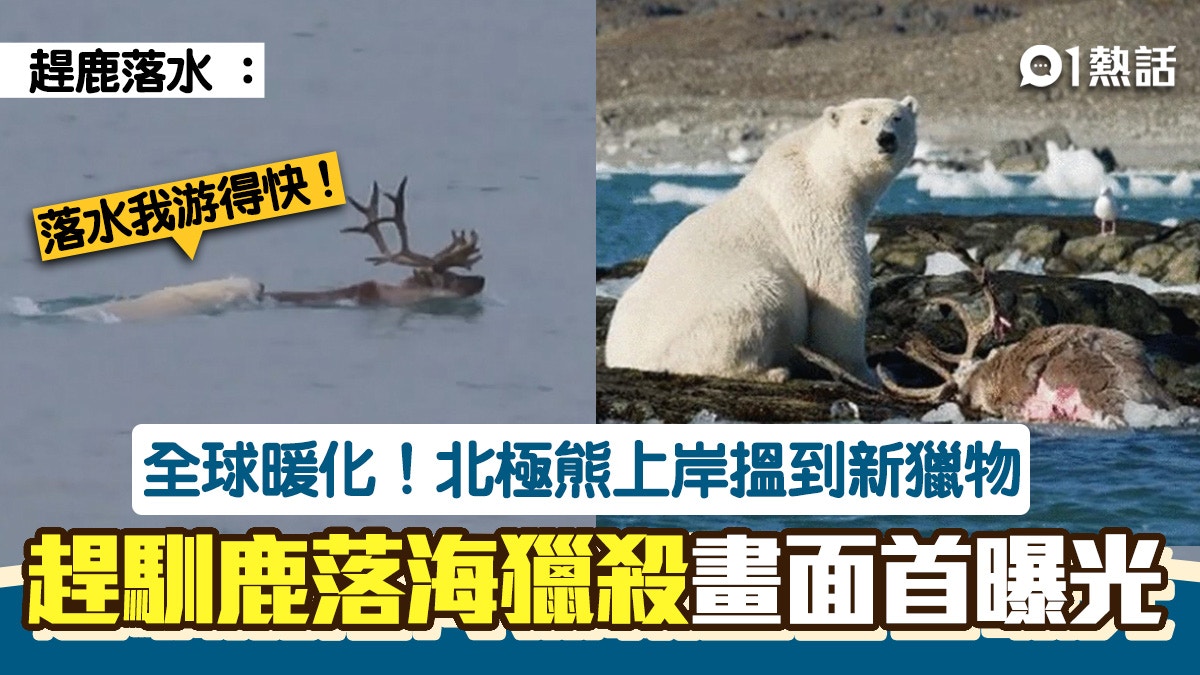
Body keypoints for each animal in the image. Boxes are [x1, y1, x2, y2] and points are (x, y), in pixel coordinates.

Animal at [604, 96, 919, 384]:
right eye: (863, 120)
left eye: (897, 118)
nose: (886, 138)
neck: (823, 170)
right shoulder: (815, 213)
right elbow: (838, 285)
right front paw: (868, 373)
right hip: (725, 307)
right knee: (764, 298)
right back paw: (770, 371)